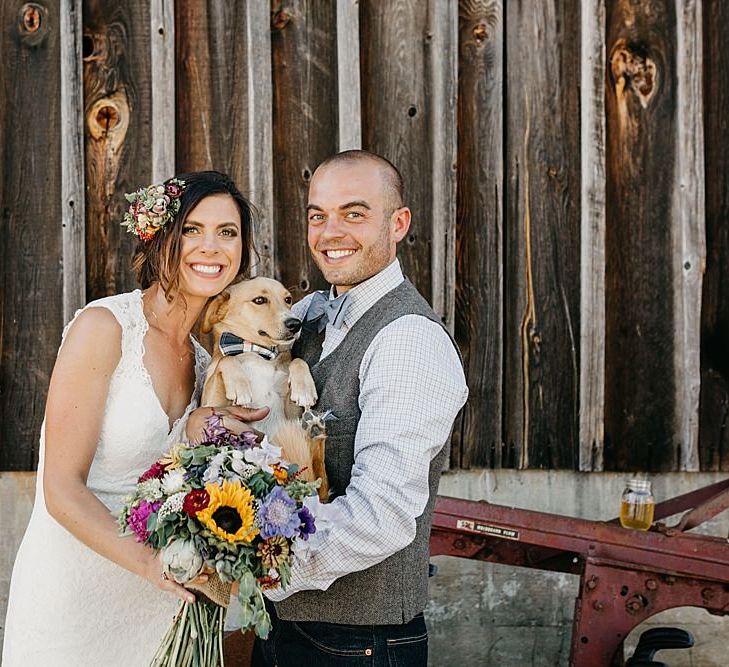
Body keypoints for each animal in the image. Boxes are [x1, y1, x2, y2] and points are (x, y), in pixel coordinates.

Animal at [198, 274, 326, 498]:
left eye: (288, 299)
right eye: (259, 300)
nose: (295, 324)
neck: (258, 353)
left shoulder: (290, 415)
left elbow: (297, 360)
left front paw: (304, 388)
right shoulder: (211, 405)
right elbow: (226, 361)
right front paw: (239, 385)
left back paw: (314, 431)